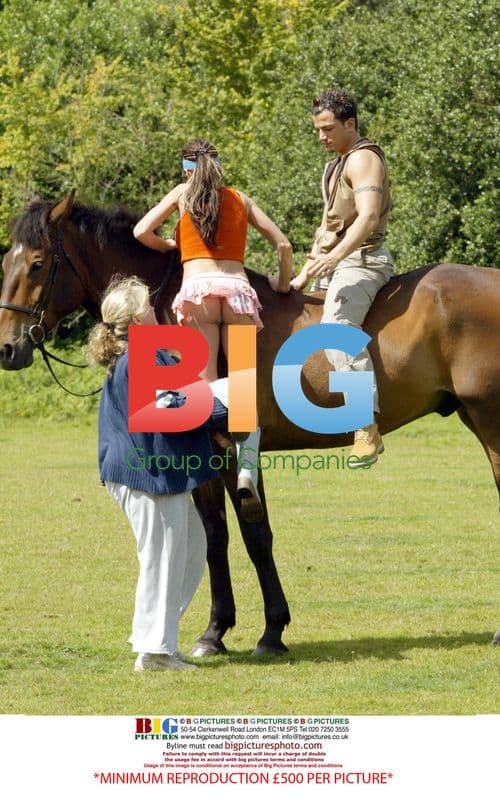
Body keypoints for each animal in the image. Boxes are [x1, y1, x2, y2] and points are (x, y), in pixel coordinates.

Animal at [1, 193, 499, 655]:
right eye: (7, 260)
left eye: (38, 264)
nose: (8, 347)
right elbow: (217, 534)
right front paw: (217, 631)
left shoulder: (228, 448)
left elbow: (251, 534)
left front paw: (269, 632)